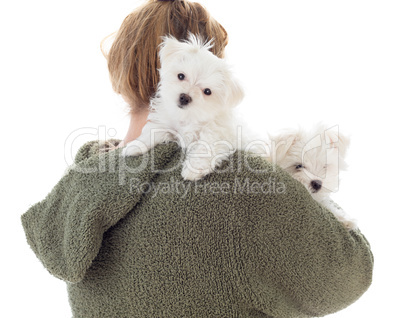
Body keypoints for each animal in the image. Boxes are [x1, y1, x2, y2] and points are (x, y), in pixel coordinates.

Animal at [122, 34, 243, 181]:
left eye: (207, 91)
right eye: (181, 76)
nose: (185, 97)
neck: (188, 117)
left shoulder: (219, 134)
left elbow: (205, 147)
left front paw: (193, 169)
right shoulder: (167, 125)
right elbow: (152, 132)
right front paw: (136, 145)